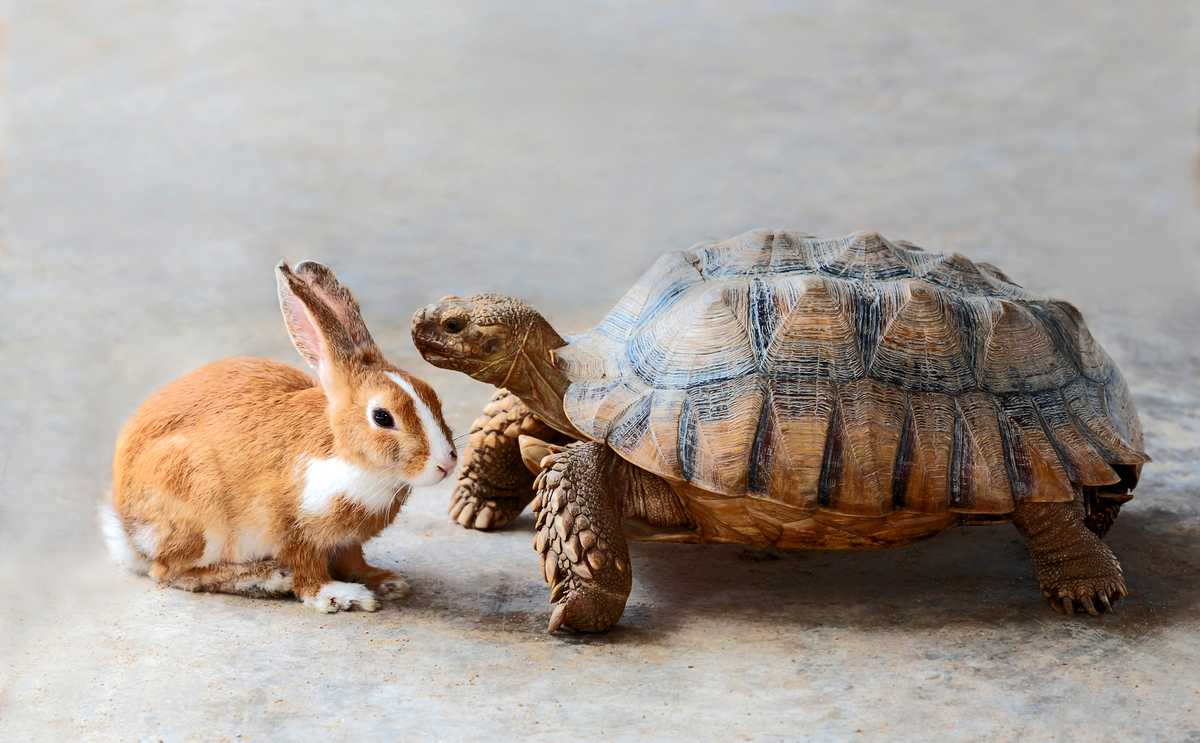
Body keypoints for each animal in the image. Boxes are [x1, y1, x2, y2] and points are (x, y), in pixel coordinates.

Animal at [100, 260, 457, 613]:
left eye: (433, 395)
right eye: (382, 417)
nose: (446, 465)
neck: (350, 458)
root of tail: (126, 530)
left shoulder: (348, 541)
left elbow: (355, 562)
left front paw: (386, 582)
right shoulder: (293, 531)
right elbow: (307, 572)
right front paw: (340, 596)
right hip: (198, 512)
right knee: (169, 570)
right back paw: (266, 578)